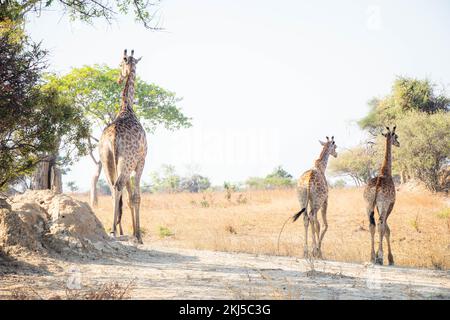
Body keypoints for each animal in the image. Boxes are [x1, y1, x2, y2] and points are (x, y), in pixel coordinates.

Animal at [98, 48, 148, 244]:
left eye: (120, 64)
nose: (119, 78)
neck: (127, 108)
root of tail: (112, 137)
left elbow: (128, 198)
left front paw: (132, 233)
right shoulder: (141, 161)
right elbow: (135, 197)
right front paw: (138, 236)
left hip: (107, 161)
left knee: (113, 188)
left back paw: (113, 230)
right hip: (126, 162)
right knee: (118, 186)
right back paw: (113, 230)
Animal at [364, 125, 400, 264]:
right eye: (396, 136)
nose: (398, 143)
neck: (385, 172)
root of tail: (377, 185)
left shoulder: (377, 205)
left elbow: (384, 227)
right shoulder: (390, 204)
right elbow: (386, 228)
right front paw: (390, 258)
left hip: (368, 204)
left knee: (371, 225)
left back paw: (372, 257)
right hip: (382, 204)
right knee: (380, 225)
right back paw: (379, 257)